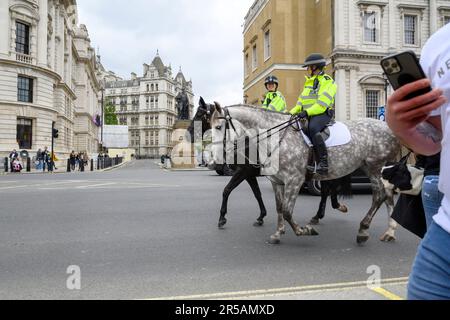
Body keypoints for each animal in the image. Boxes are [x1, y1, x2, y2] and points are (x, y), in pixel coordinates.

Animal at [211, 104, 400, 244]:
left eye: (219, 127)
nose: (213, 157)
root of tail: (387, 126)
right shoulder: (277, 181)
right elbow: (279, 208)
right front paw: (278, 233)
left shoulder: (294, 180)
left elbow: (287, 211)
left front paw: (304, 230)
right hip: (372, 169)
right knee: (388, 195)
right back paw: (390, 231)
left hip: (375, 167)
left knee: (379, 195)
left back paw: (363, 230)